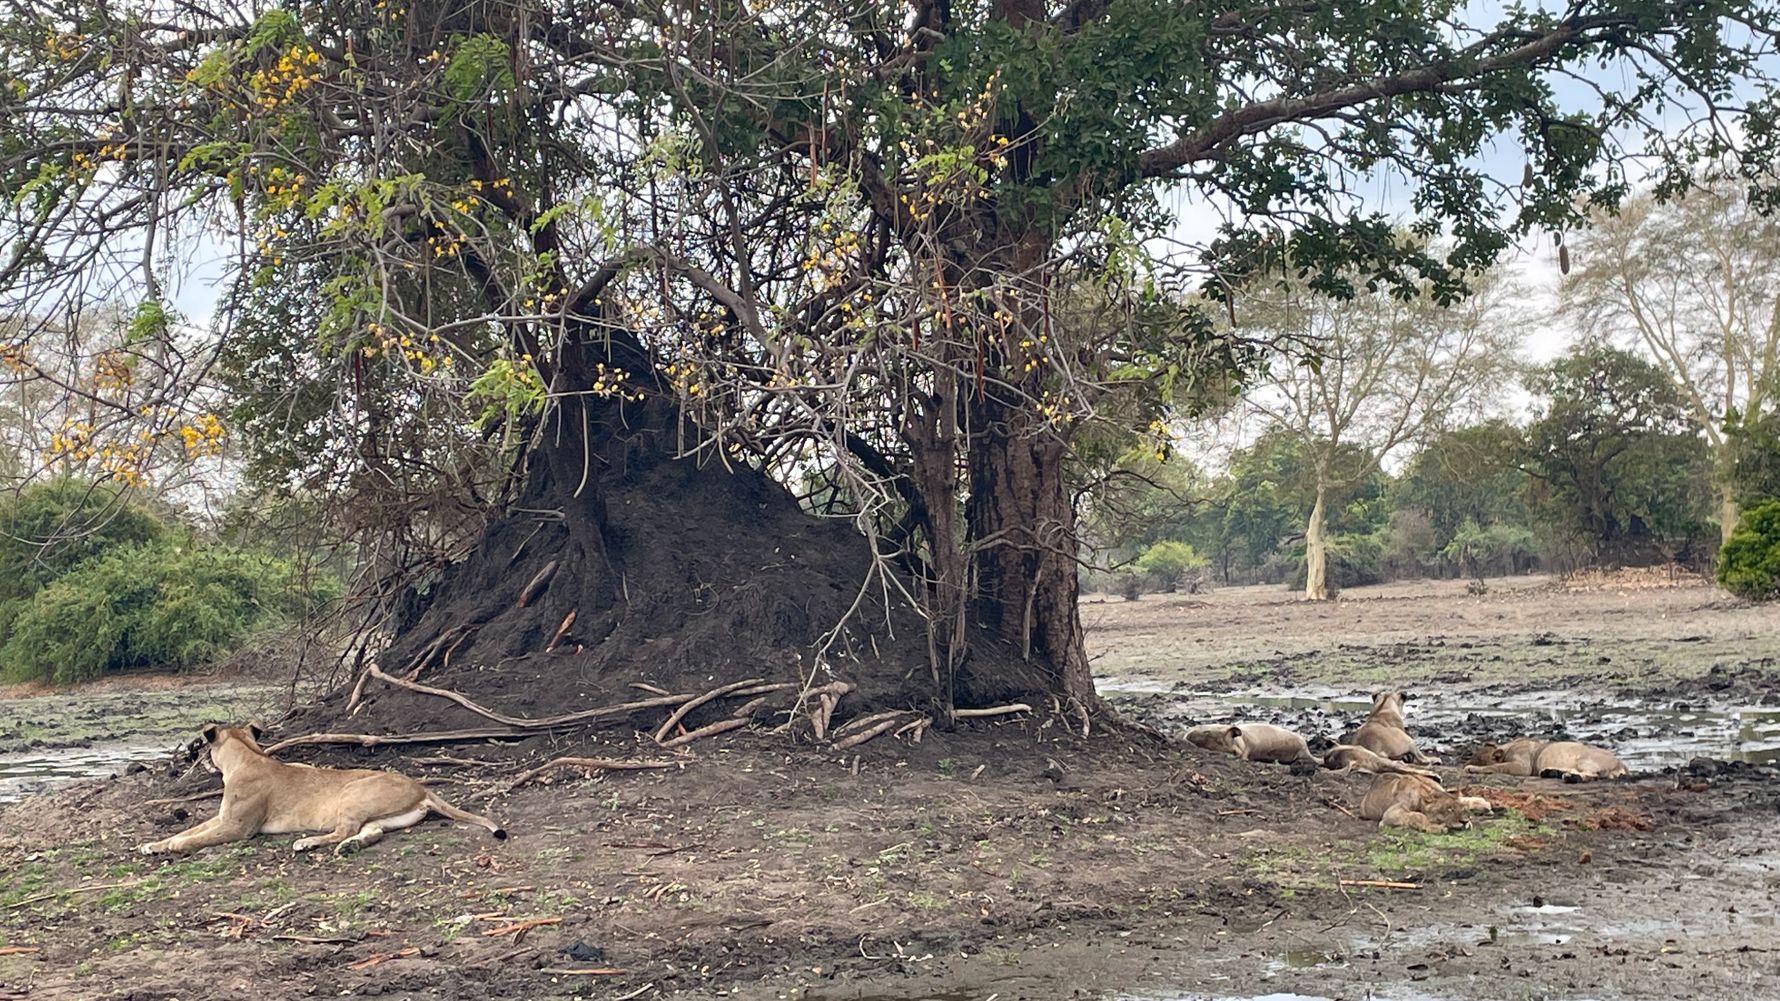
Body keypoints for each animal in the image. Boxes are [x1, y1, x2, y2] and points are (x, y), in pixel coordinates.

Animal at [138, 724, 507, 856]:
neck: (247, 755)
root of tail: (420, 787)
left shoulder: (238, 827)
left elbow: (197, 837)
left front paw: (174, 846)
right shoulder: (223, 817)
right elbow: (190, 829)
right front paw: (153, 845)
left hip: (352, 793)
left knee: (343, 829)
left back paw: (308, 842)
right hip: (383, 815)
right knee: (369, 832)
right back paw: (349, 846)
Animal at [1358, 772, 1493, 834]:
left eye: (1461, 809)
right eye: (1449, 809)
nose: (1464, 822)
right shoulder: (1390, 814)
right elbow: (1418, 816)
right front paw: (1437, 827)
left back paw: (1484, 804)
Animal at [1464, 738, 1627, 781]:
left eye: (1476, 758)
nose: (1465, 763)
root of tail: (1622, 764)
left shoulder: (1523, 766)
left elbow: (1496, 766)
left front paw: (1471, 768)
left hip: (1584, 759)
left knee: (1591, 775)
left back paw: (1569, 777)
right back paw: (1551, 773)